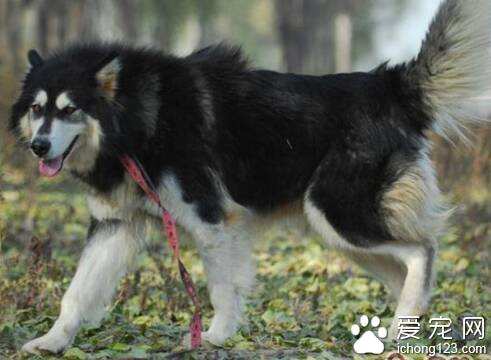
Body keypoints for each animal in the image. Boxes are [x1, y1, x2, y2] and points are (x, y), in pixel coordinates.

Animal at [7, 0, 491, 354]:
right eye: (38, 108)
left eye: (70, 109)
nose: (40, 147)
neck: (140, 117)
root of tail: (387, 85)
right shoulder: (115, 226)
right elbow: (76, 293)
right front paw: (50, 341)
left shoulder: (212, 219)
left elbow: (223, 288)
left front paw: (215, 337)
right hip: (340, 232)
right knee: (406, 269)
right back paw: (402, 327)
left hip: (338, 213)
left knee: (422, 252)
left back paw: (395, 329)